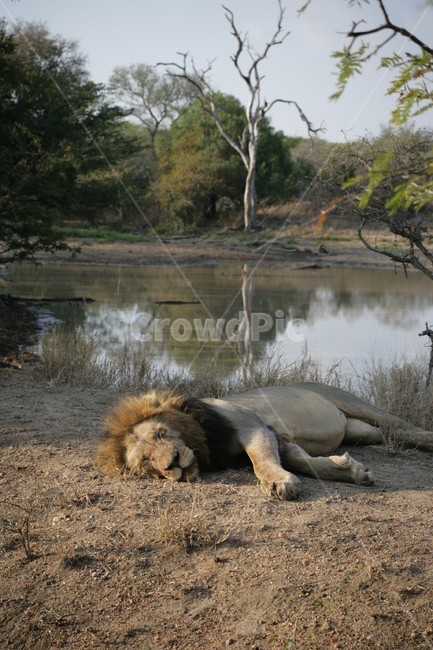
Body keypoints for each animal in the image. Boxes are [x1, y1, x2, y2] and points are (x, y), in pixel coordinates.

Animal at [95, 383, 433, 500]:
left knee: (408, 429)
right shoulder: (281, 440)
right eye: (146, 462)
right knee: (390, 435)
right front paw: (354, 472)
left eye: (160, 433)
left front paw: (278, 483)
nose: (173, 464)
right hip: (360, 430)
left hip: (358, 404)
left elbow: (261, 461)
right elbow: (308, 463)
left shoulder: (253, 426)